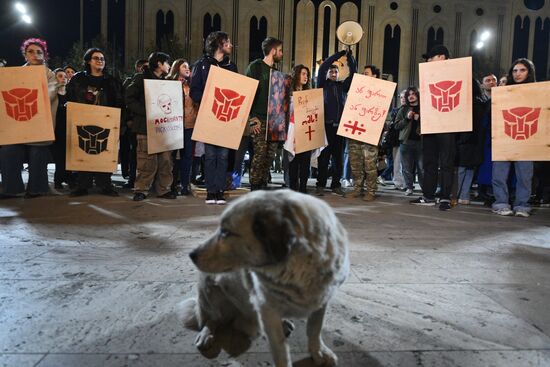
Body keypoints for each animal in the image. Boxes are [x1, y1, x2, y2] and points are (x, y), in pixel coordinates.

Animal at [183, 190, 352, 367]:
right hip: (208, 290)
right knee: (211, 319)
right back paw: (206, 334)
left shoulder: (322, 300)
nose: (191, 254)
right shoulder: (267, 309)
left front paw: (318, 352)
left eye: (225, 232)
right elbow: (281, 351)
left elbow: (314, 329)